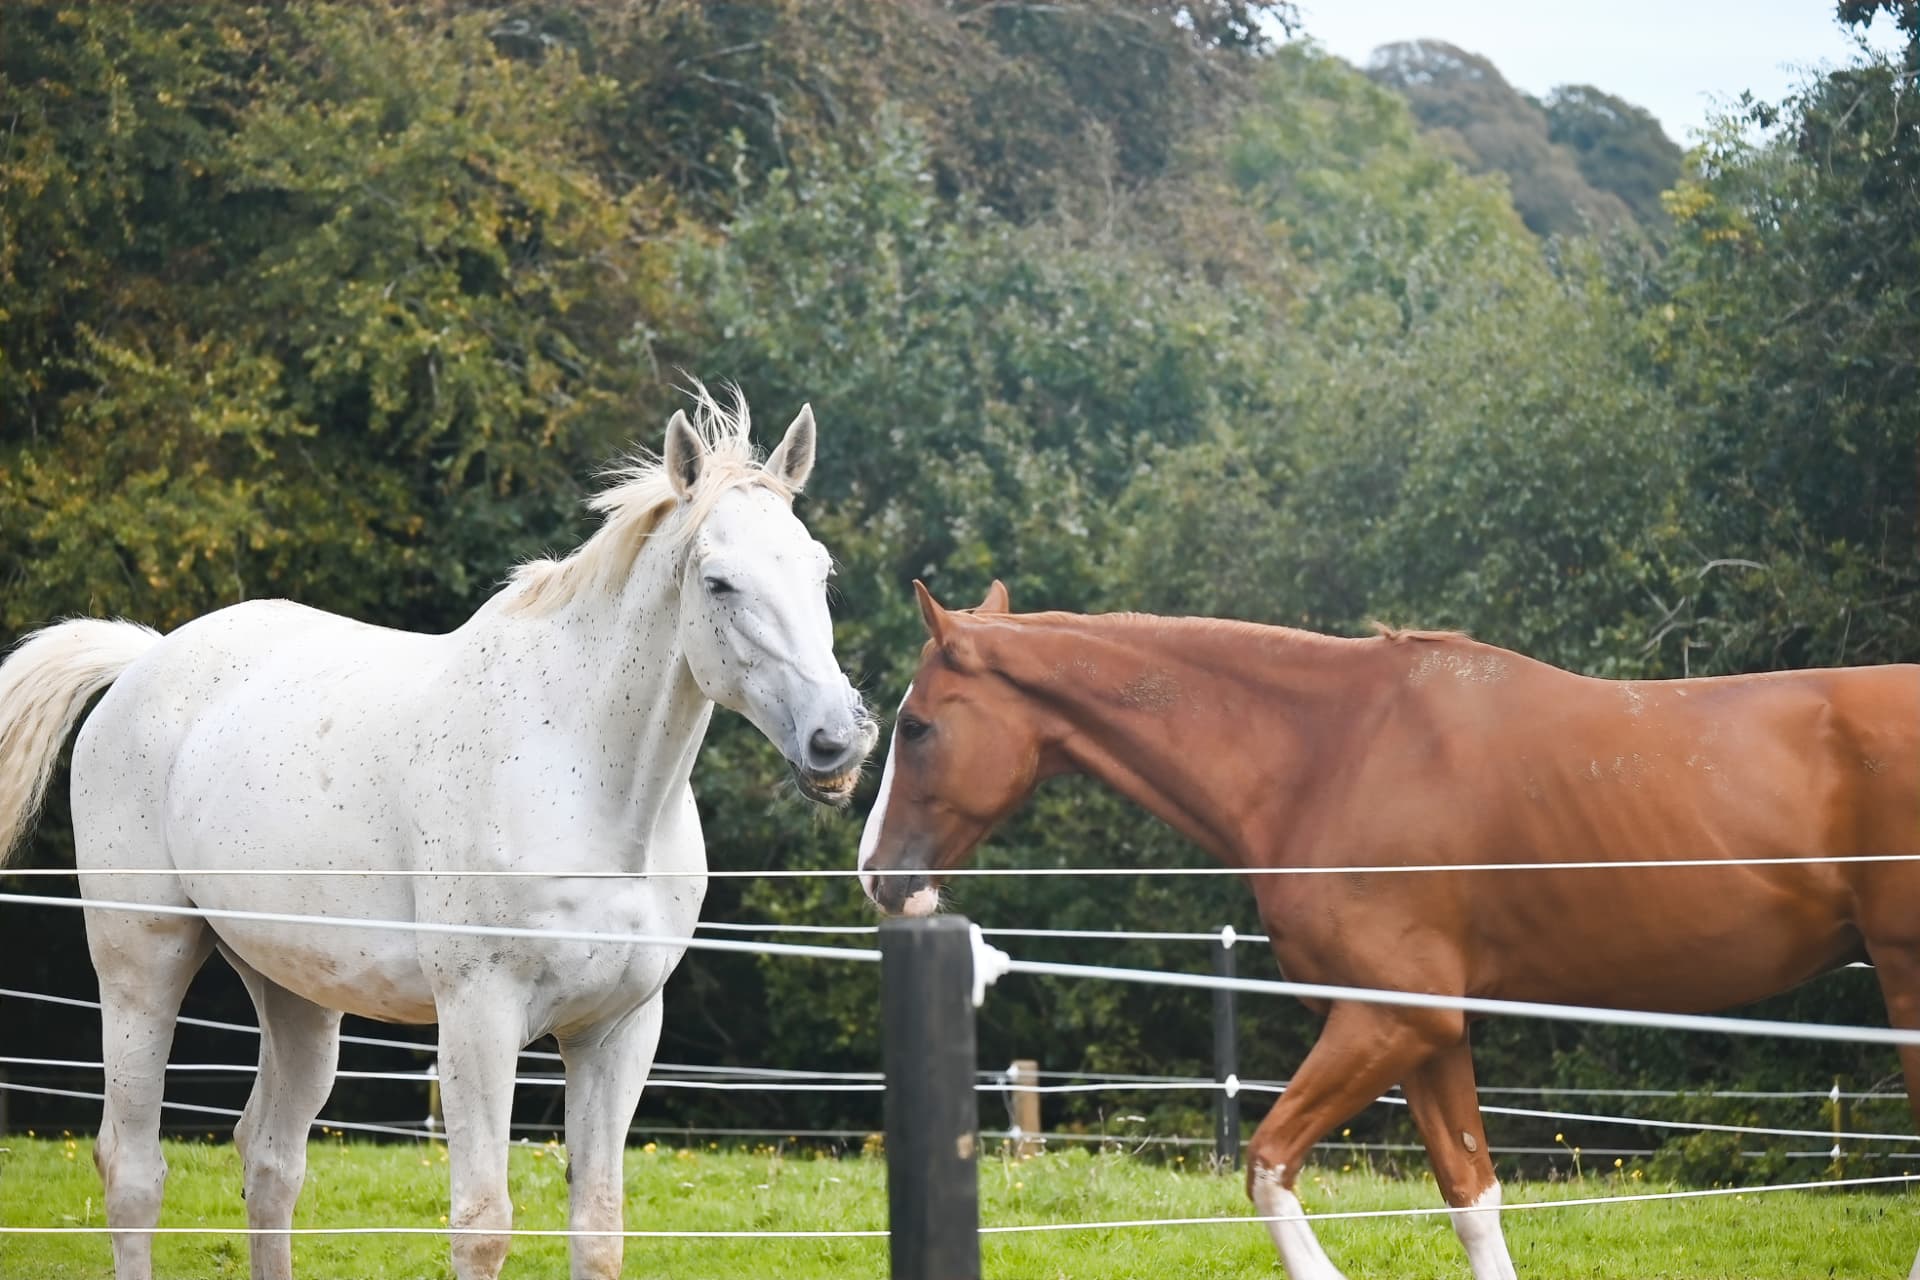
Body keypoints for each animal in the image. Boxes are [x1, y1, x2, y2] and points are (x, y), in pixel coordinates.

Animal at [0, 387, 877, 1280]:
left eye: (821, 571)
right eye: (718, 581)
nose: (837, 741)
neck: (593, 789)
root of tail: (145, 660)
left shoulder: (616, 1034)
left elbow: (597, 1229)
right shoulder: (479, 1021)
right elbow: (482, 1224)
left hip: (294, 993)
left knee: (270, 1160)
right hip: (143, 964)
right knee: (133, 1169)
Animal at [855, 580, 1920, 1280]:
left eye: (916, 726)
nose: (876, 876)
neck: (1332, 753)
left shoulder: (1384, 1018)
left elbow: (1268, 1165)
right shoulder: (1432, 1033)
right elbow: (1472, 1198)